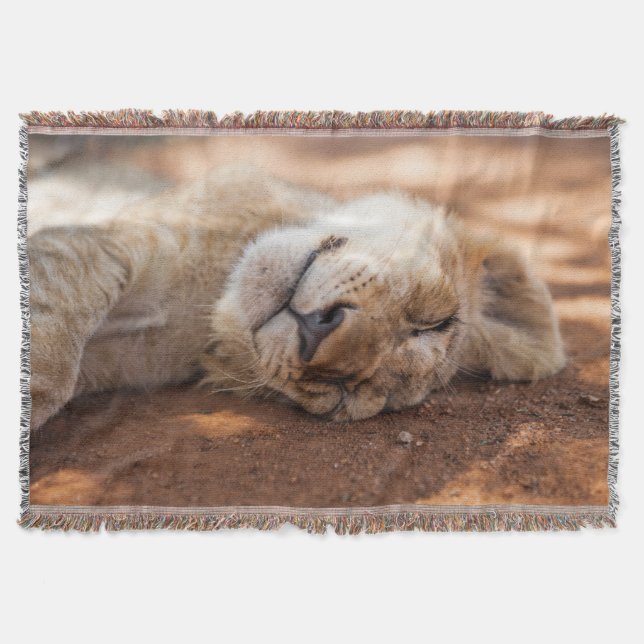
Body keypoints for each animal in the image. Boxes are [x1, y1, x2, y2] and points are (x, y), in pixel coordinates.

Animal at [27, 165, 565, 429]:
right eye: (432, 320)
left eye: (343, 395)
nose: (314, 333)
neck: (209, 298)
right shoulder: (105, 242)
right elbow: (56, 353)